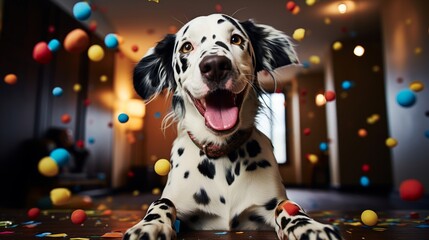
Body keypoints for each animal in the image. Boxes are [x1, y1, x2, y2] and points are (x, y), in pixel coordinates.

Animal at [123, 13, 342, 240]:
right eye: (186, 47)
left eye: (236, 39)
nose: (215, 66)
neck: (222, 153)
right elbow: (162, 202)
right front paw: (150, 225)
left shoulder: (268, 206)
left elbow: (289, 205)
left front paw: (308, 226)